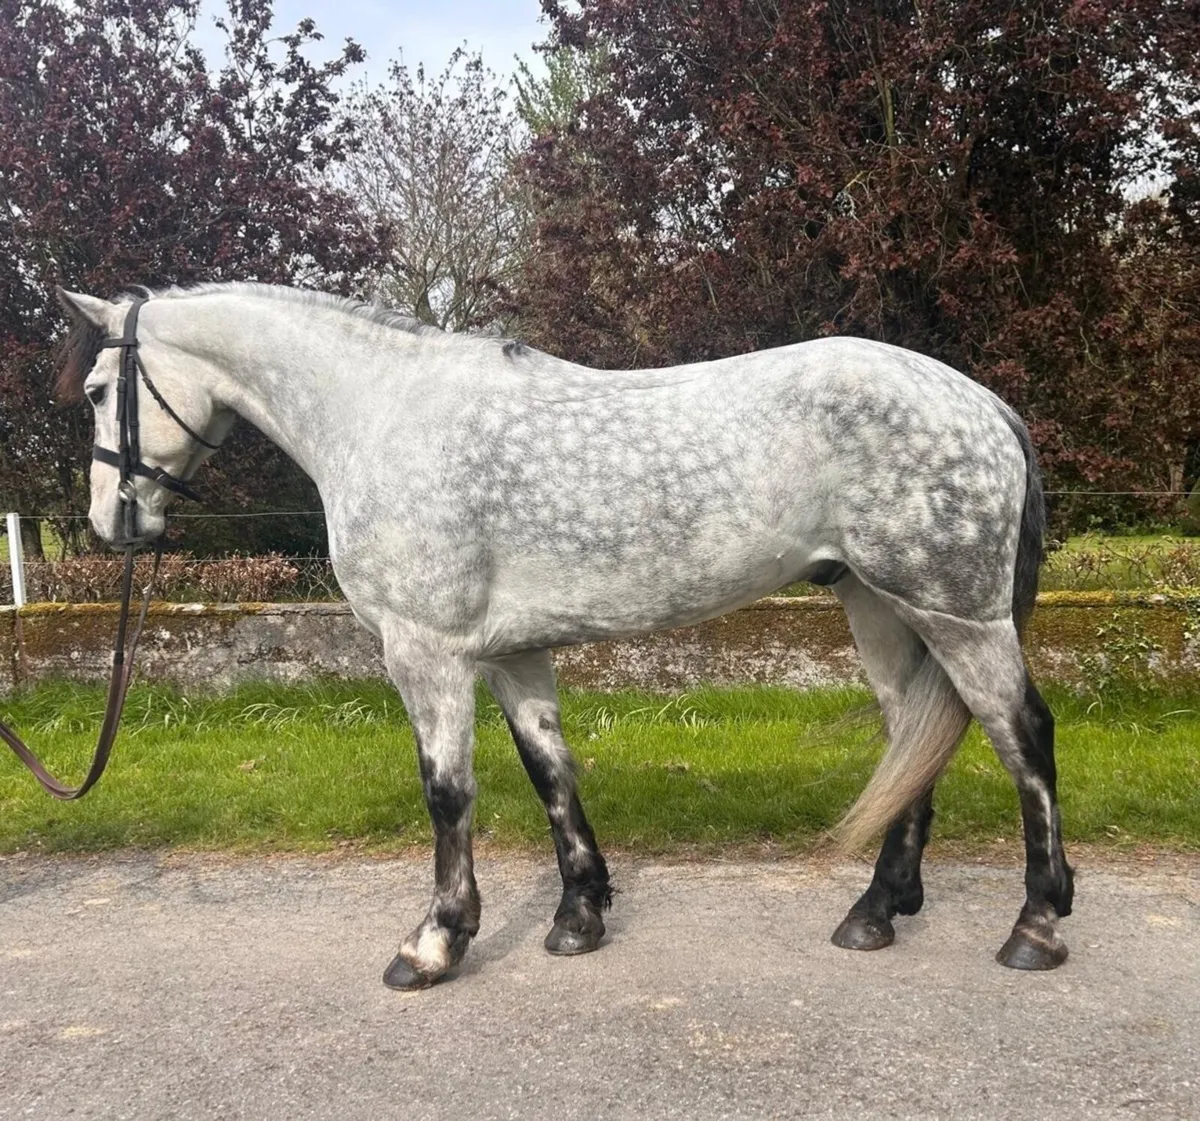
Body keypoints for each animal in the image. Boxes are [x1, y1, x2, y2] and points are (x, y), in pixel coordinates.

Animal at [54, 282, 1073, 988]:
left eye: (101, 390)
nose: (110, 523)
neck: (381, 414)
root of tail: (982, 402)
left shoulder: (424, 651)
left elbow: (448, 794)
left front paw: (435, 943)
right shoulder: (511, 652)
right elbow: (551, 772)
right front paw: (579, 915)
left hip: (957, 612)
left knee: (1023, 735)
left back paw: (1035, 924)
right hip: (880, 605)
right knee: (915, 737)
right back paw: (877, 909)